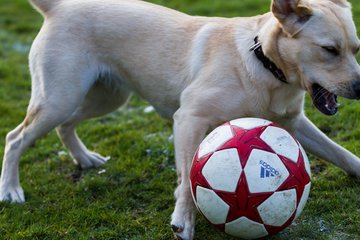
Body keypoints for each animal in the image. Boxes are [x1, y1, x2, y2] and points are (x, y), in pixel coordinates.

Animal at [0, 0, 360, 239]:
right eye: (329, 49)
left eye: (355, 49)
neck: (264, 65)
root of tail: (58, 6)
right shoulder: (189, 117)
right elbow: (188, 178)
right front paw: (183, 221)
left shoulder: (294, 122)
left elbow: (342, 153)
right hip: (60, 99)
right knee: (15, 138)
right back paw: (11, 189)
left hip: (105, 98)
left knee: (65, 126)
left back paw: (84, 158)